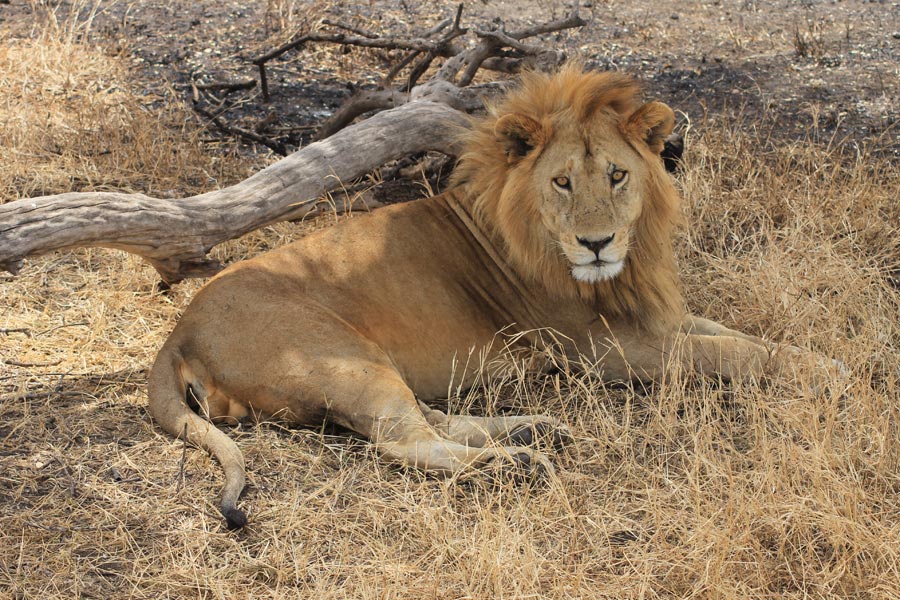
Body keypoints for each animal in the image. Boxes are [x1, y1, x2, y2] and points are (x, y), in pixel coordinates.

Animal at [149, 63, 836, 528]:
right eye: (562, 182)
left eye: (617, 174)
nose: (596, 243)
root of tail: (179, 330)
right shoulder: (604, 347)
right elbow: (726, 354)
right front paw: (827, 371)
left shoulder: (655, 316)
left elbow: (735, 337)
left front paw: (813, 358)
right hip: (339, 352)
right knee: (404, 440)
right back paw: (515, 465)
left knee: (424, 418)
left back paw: (533, 431)